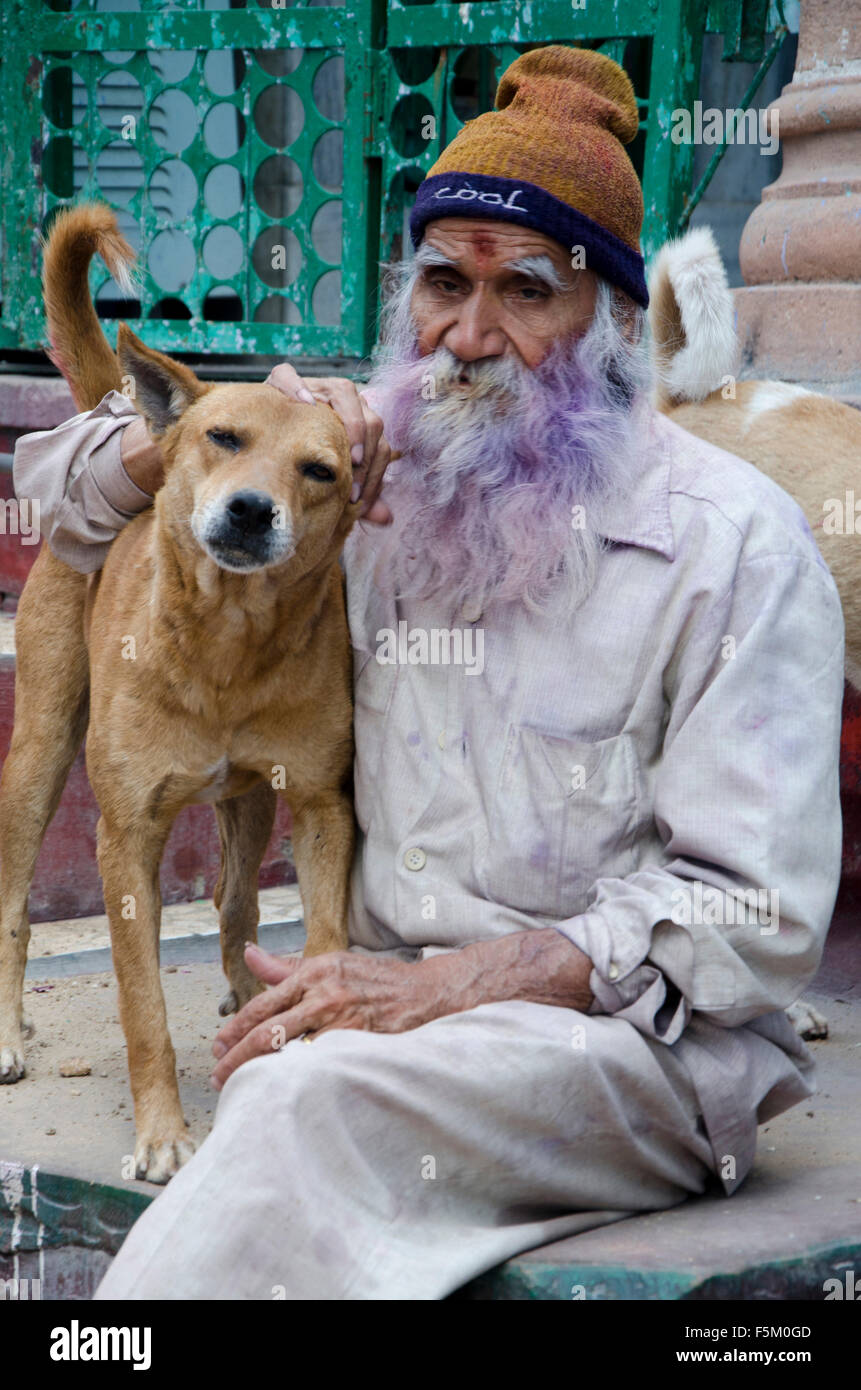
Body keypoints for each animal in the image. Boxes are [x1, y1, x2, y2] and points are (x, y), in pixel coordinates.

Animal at [0, 202, 361, 1184]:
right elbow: (141, 1009)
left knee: (235, 903)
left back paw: (243, 984)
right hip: (38, 753)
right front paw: (161, 1135)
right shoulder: (124, 834)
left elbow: (321, 936)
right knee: (11, 903)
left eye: (320, 471)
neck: (225, 646)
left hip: (247, 799)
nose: (249, 511)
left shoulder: (321, 805)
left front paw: (314, 1031)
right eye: (224, 438)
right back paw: (6, 1032)